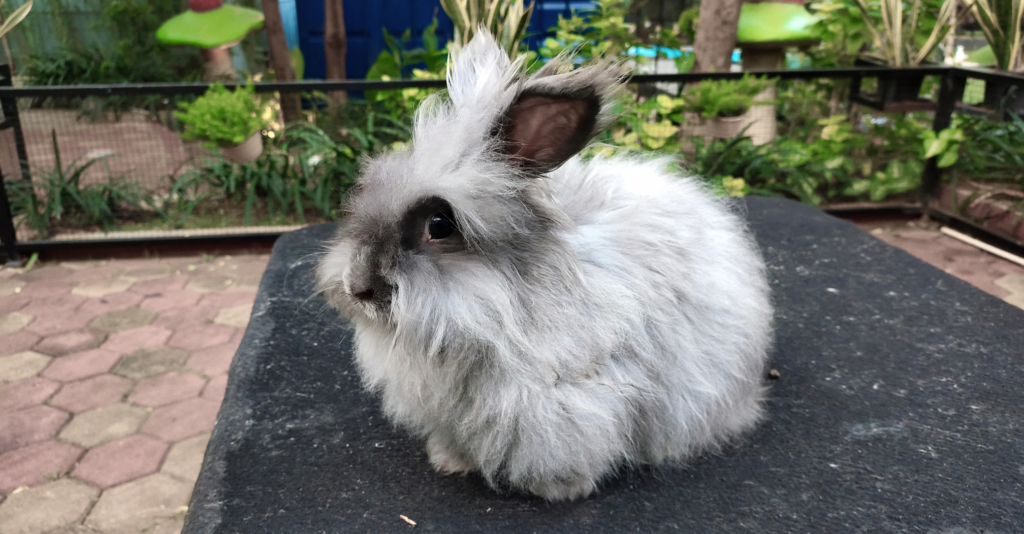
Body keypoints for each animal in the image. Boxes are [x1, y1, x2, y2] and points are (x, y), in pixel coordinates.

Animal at [315, 30, 773, 502]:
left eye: (439, 225)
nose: (357, 287)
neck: (500, 305)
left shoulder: (569, 400)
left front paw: (561, 489)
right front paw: (449, 461)